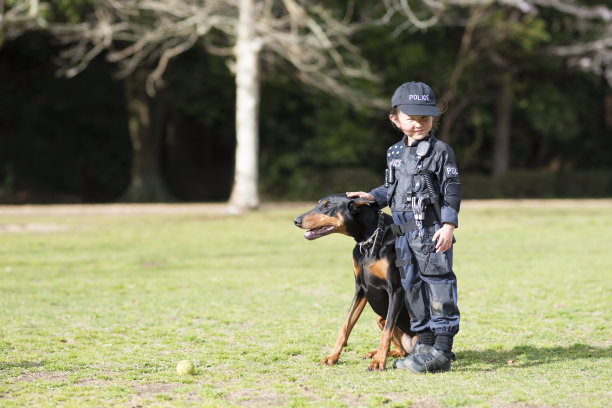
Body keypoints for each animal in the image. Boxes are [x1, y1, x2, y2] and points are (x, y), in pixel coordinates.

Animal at [292, 194, 416, 370]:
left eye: (327, 206)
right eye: (318, 204)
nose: (296, 220)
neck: (369, 241)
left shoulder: (396, 290)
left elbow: (386, 332)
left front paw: (379, 362)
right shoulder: (360, 289)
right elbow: (345, 327)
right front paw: (332, 357)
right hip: (380, 317)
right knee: (401, 350)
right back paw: (376, 353)